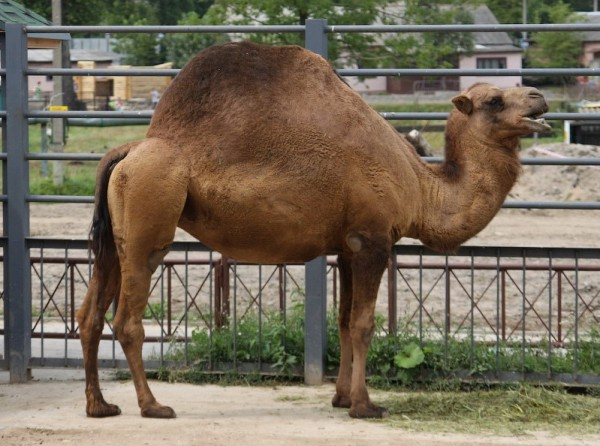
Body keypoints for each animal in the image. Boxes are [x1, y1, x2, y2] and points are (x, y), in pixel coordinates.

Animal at [77, 40, 552, 420]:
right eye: (494, 100)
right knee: (127, 319)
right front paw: (365, 406)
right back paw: (153, 406)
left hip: (115, 235)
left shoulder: (346, 248)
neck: (421, 187)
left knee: (90, 314)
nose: (539, 96)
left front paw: (341, 398)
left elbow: (341, 323)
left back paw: (101, 406)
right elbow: (363, 325)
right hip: (149, 218)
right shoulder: (373, 241)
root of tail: (127, 150)